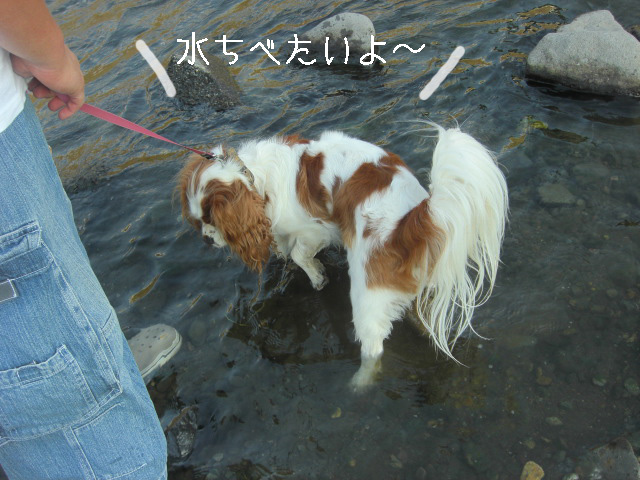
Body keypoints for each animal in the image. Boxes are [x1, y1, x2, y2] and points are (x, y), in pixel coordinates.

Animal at [178, 126, 508, 387]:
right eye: (198, 221)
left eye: (211, 220)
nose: (206, 239)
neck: (255, 177)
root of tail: (413, 222)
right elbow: (284, 247)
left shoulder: (315, 229)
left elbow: (299, 254)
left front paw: (316, 276)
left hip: (367, 294)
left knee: (373, 348)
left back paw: (358, 383)